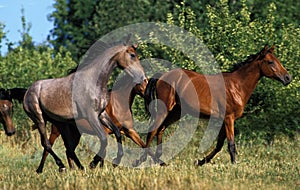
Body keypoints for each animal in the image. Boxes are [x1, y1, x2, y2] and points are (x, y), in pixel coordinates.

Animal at [22, 40, 147, 172]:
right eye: (132, 55)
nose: (142, 77)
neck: (94, 82)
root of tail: (28, 91)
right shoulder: (91, 116)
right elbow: (104, 139)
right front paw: (93, 163)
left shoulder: (101, 114)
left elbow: (117, 133)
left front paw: (115, 161)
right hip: (40, 119)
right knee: (47, 144)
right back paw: (58, 167)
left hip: (61, 124)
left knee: (67, 148)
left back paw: (76, 168)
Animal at [135, 44, 292, 166]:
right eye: (270, 62)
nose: (287, 78)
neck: (237, 86)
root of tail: (162, 76)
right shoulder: (229, 118)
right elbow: (231, 144)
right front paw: (234, 165)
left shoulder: (224, 120)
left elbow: (219, 145)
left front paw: (199, 162)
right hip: (165, 109)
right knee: (152, 131)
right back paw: (141, 160)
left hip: (176, 112)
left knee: (160, 129)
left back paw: (159, 160)